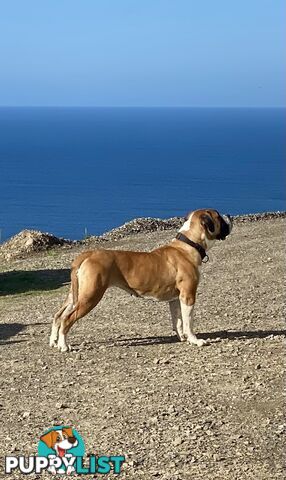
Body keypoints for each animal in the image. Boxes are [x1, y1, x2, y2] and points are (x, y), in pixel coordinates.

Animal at [49, 208, 232, 350]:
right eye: (218, 216)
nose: (229, 215)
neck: (188, 244)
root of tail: (88, 254)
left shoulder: (175, 299)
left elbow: (178, 320)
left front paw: (182, 337)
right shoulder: (188, 296)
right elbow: (188, 321)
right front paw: (195, 340)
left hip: (76, 295)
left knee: (58, 315)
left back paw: (54, 342)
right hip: (90, 295)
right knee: (67, 318)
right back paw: (64, 346)